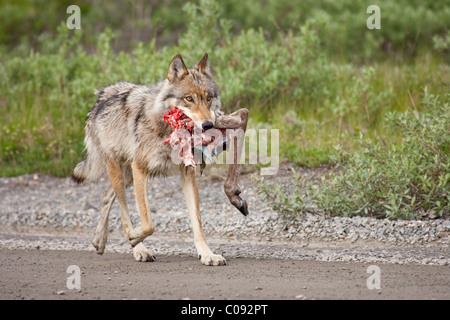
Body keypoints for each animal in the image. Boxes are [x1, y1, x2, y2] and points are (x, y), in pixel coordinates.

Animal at [74, 53, 229, 266]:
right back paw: (138, 248)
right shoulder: (140, 169)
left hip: (127, 176)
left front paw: (207, 254)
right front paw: (134, 237)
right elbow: (148, 223)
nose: (208, 125)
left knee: (106, 194)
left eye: (208, 98)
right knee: (123, 213)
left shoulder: (187, 172)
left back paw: (100, 241)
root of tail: (100, 97)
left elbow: (197, 222)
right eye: (189, 99)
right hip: (121, 172)